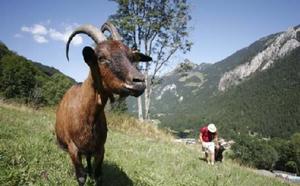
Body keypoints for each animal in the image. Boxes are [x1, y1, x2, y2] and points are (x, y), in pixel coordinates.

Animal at [55, 22, 151, 185]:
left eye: (132, 57)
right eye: (101, 57)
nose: (139, 81)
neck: (87, 117)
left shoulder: (100, 148)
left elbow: (99, 175)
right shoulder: (73, 147)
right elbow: (81, 176)